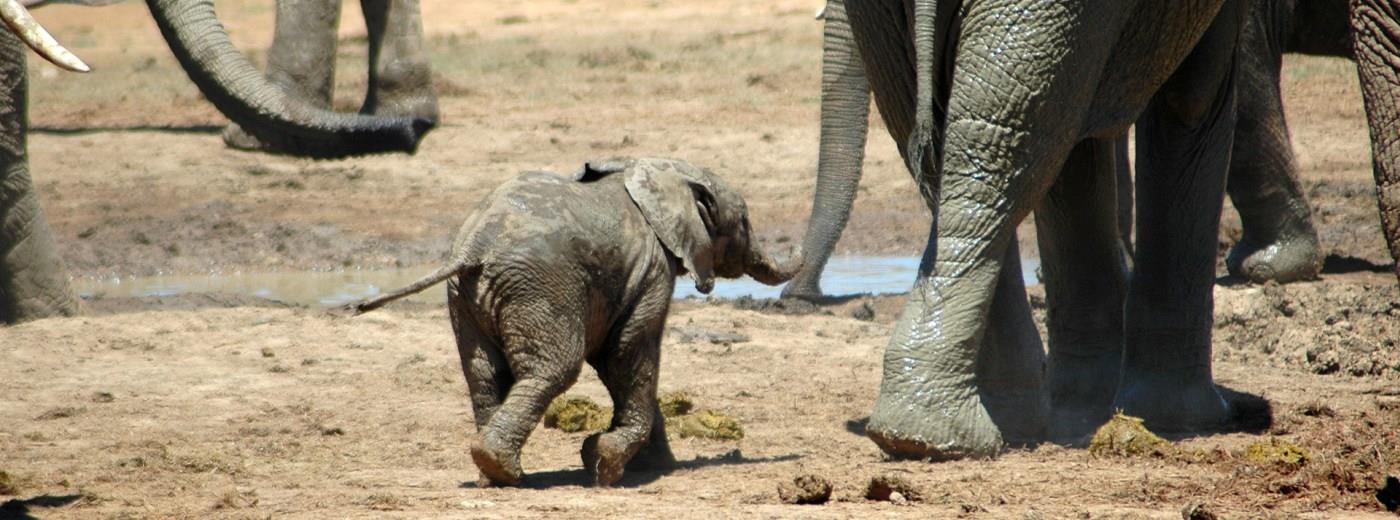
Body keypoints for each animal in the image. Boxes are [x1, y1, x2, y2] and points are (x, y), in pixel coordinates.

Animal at [352, 156, 800, 487]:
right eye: (744, 223)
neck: (654, 170)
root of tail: (475, 247)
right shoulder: (651, 271)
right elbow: (627, 355)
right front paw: (608, 463)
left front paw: (656, 467)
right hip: (540, 287)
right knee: (554, 368)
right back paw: (502, 468)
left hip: (466, 298)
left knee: (484, 375)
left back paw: (490, 474)